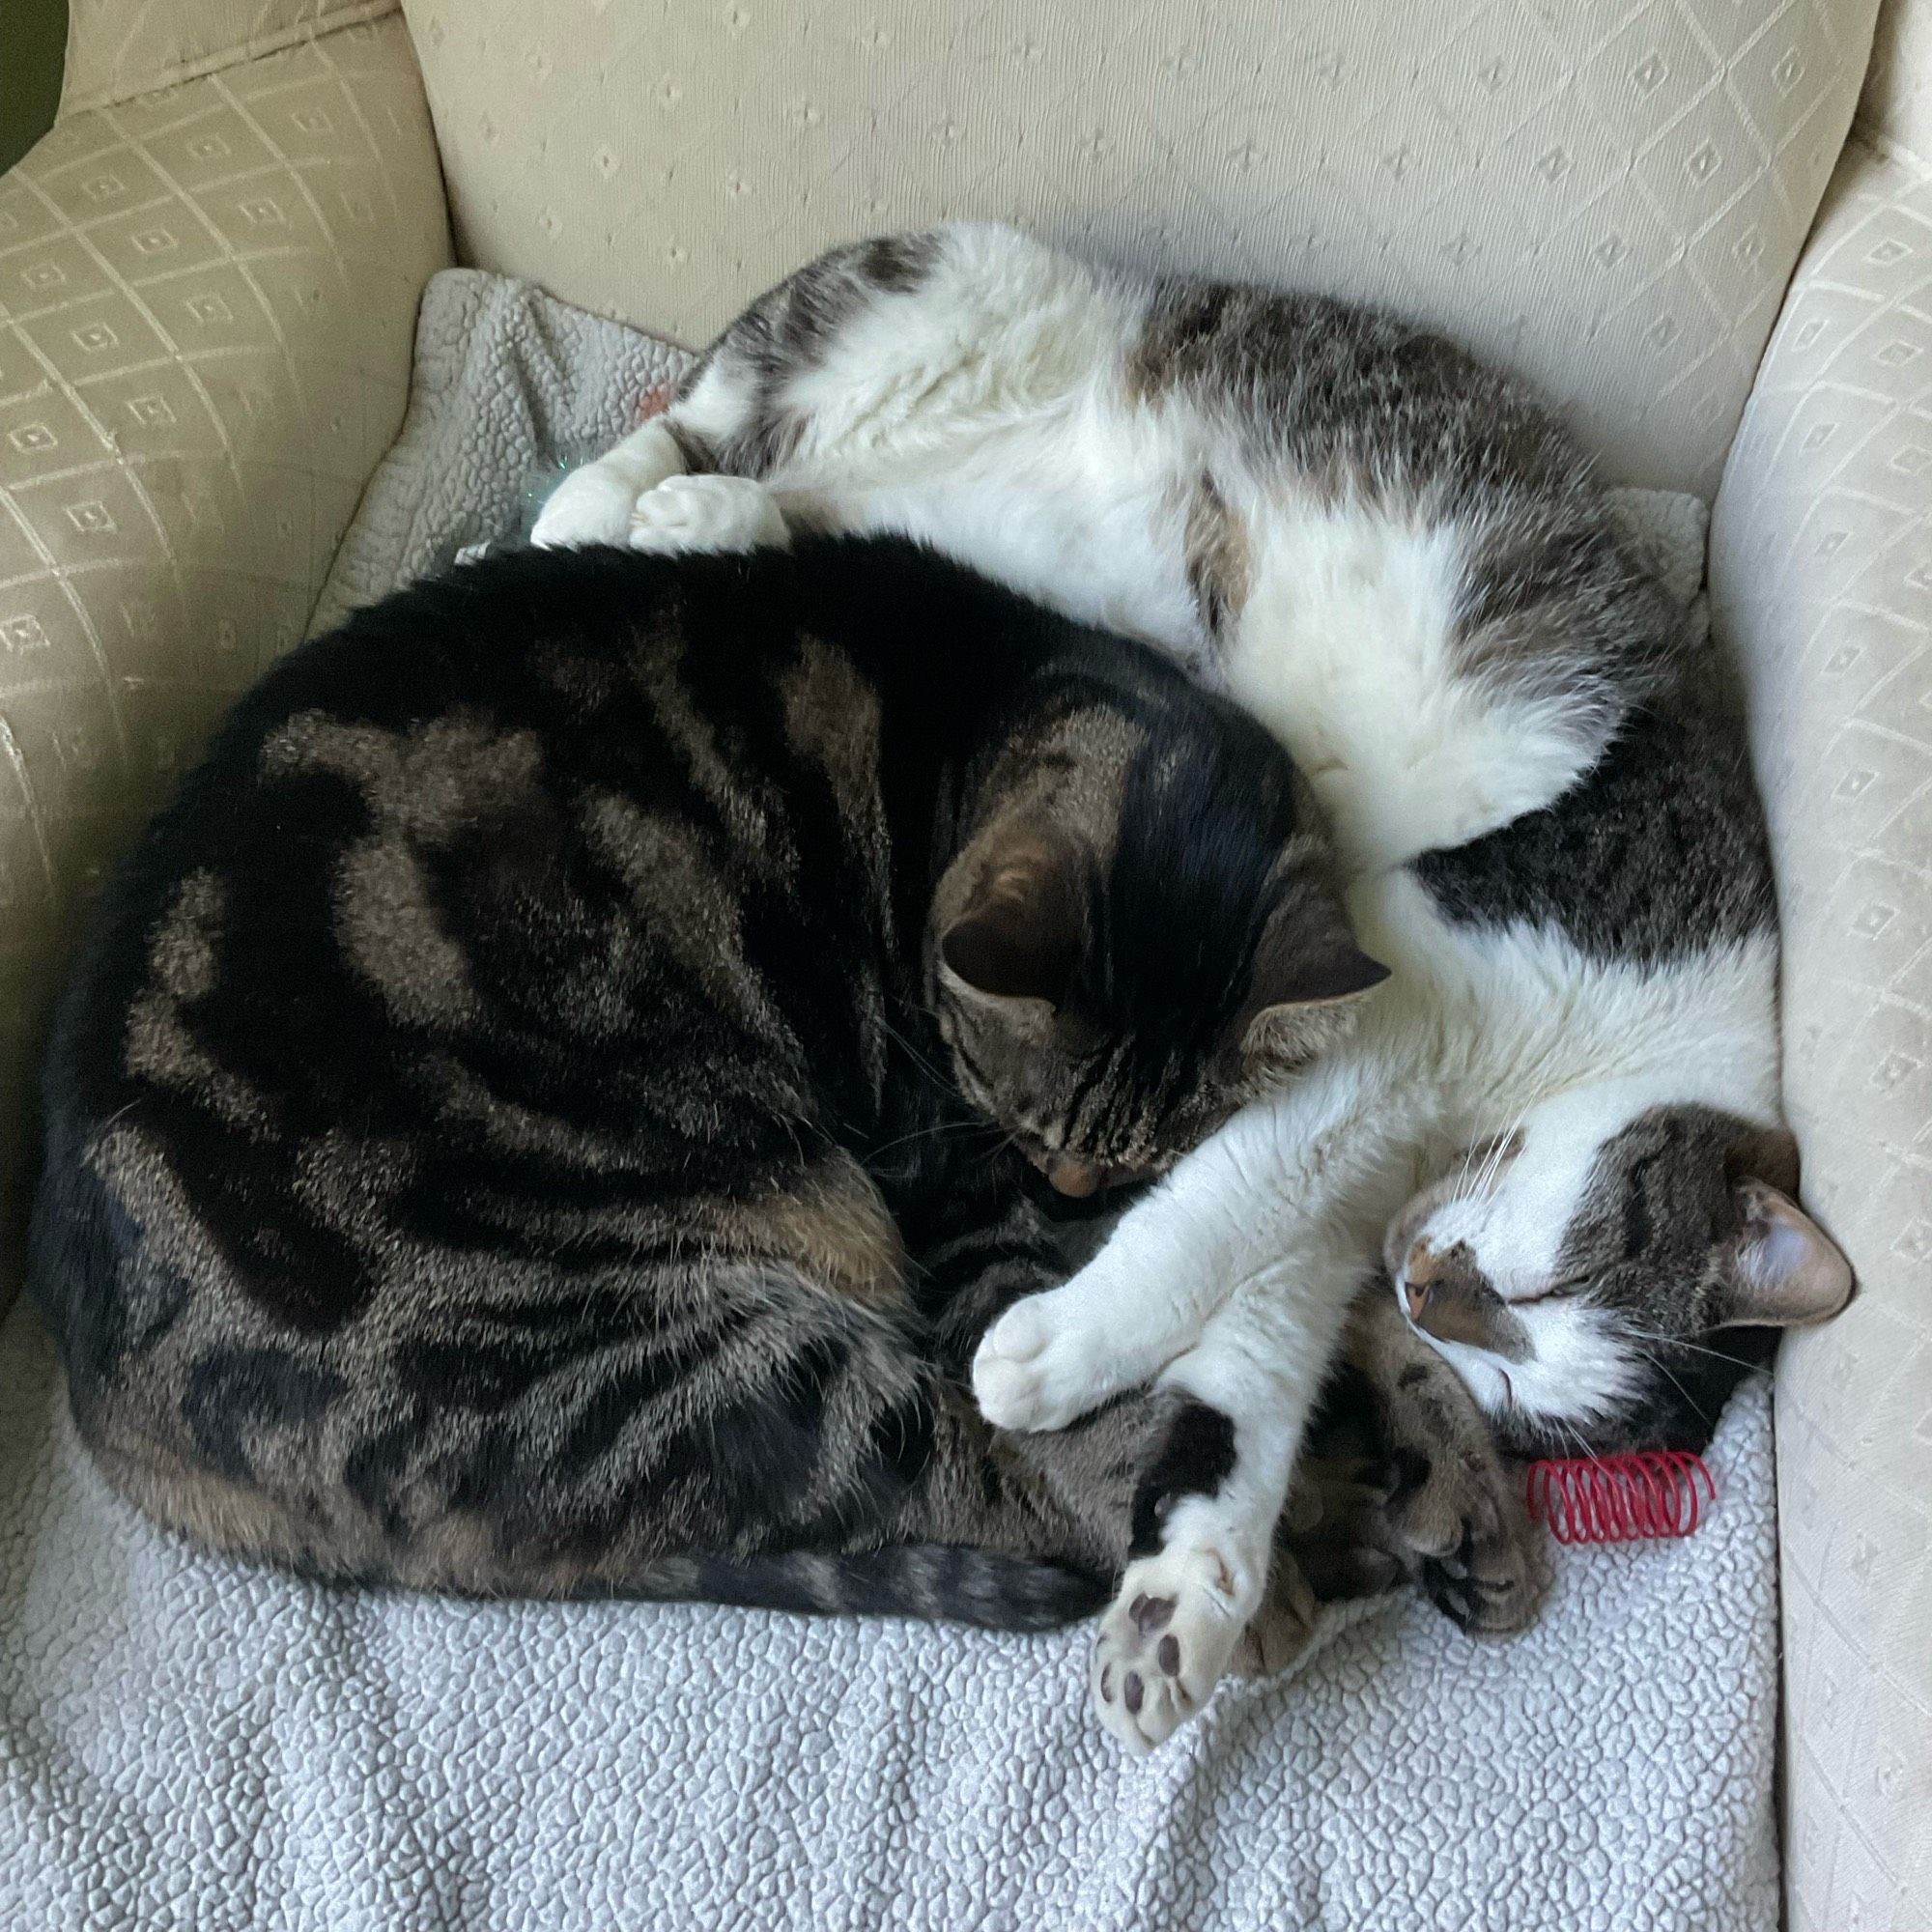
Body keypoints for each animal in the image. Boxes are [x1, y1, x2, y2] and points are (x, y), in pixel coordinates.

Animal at [26, 537, 1437, 1638]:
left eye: (1146, 1151)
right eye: (1027, 1123)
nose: (1073, 1182)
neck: (993, 698)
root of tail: (102, 1411)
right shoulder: (964, 1193)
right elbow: (1069, 1404)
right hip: (686, 1364)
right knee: (999, 1483)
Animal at [533, 222, 1855, 1754]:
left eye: (1504, 1372)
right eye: (1547, 1279)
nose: (1424, 1288)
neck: (1659, 1034)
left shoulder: (1350, 1179)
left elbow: (1253, 1335)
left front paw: (1190, 1588)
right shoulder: (1400, 1007)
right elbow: (1220, 1206)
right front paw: (1059, 1347)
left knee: (820, 495)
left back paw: (690, 514)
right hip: (939, 296)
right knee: (719, 416)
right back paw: (615, 508)